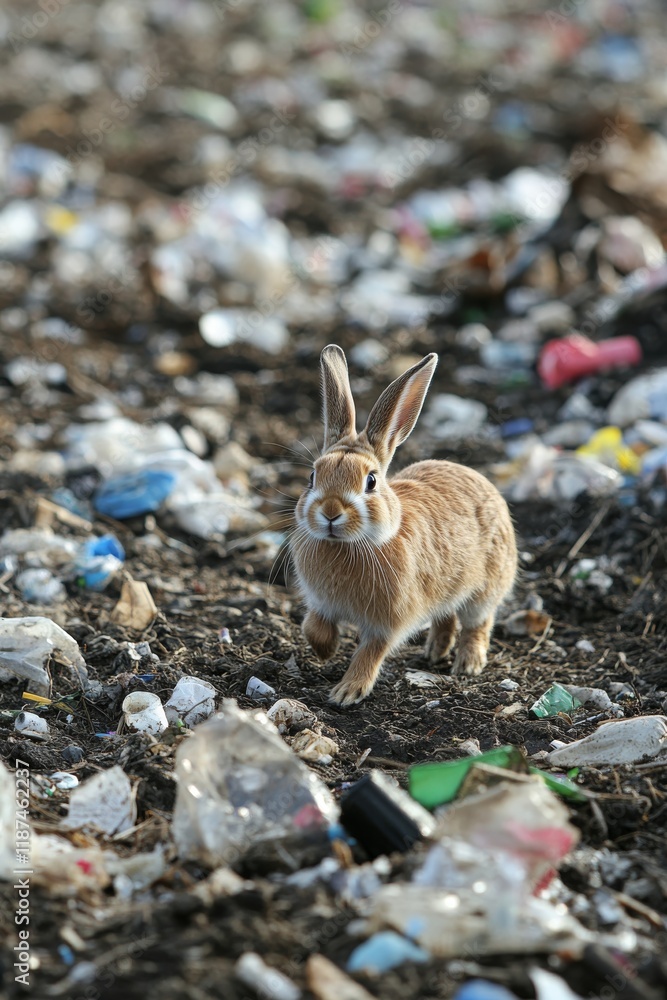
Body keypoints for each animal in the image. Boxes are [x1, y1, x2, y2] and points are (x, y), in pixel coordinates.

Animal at [290, 344, 517, 706]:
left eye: (370, 481)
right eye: (312, 477)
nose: (330, 511)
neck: (353, 544)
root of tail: (479, 478)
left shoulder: (389, 621)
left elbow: (370, 652)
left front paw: (346, 692)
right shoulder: (321, 604)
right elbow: (312, 627)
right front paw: (326, 651)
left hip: (485, 588)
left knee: (477, 622)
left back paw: (468, 663)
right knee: (446, 615)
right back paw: (435, 651)